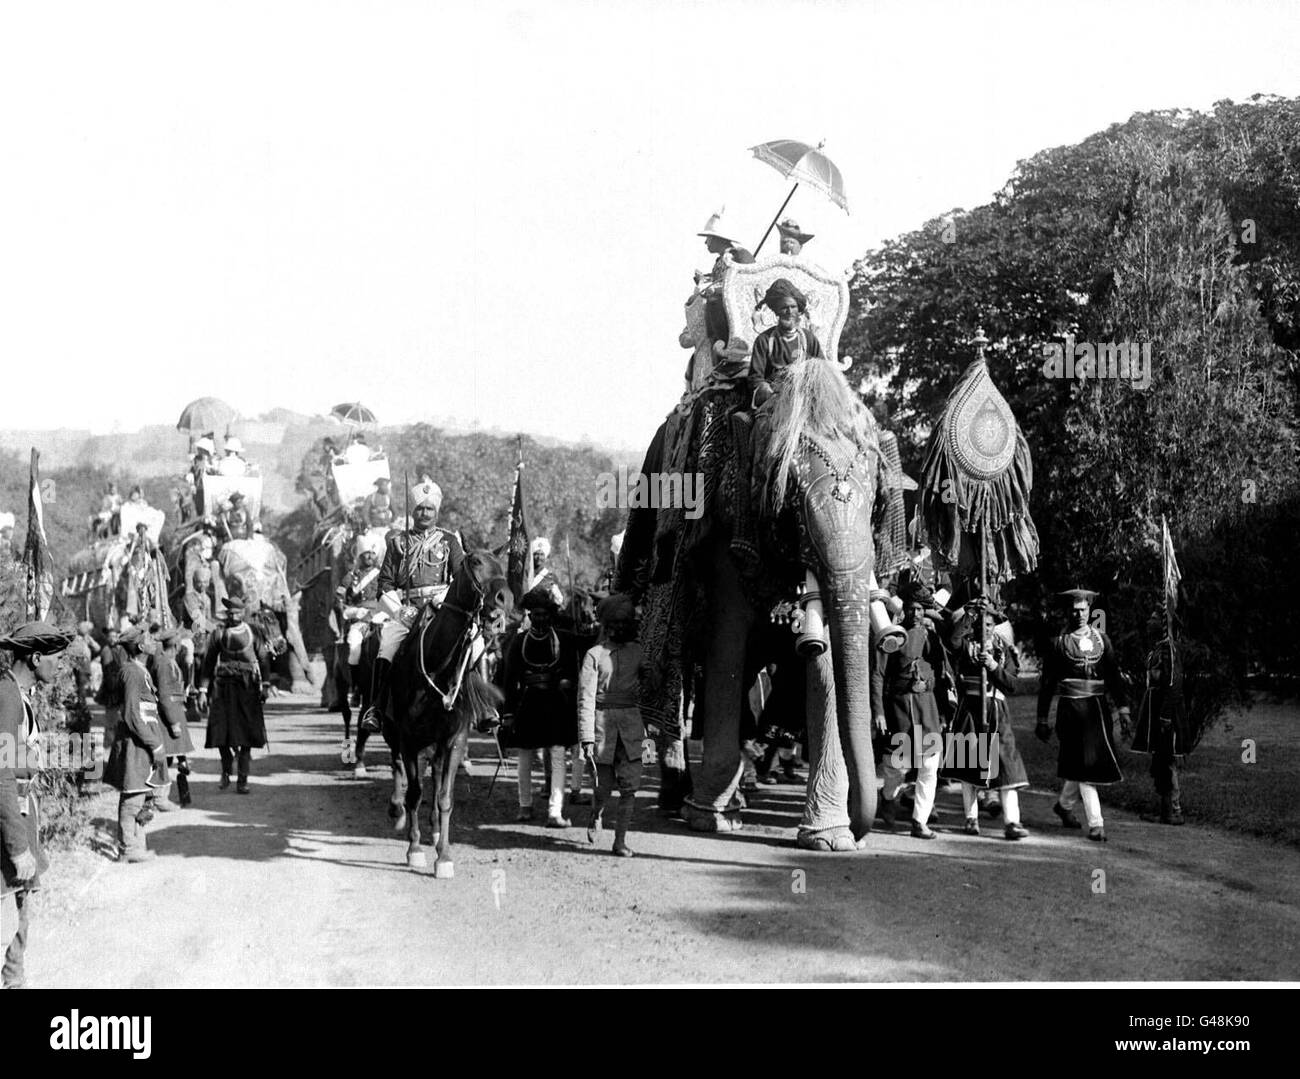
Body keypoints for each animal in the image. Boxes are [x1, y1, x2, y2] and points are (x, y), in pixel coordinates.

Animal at [379, 548, 512, 878]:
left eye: (500, 563)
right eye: (476, 562)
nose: (505, 597)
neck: (438, 665)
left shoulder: (454, 740)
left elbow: (445, 798)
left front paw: (444, 855)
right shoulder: (408, 738)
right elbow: (414, 792)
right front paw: (414, 850)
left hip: (435, 744)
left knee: (436, 778)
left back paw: (436, 829)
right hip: (395, 734)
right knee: (398, 769)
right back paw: (397, 811)